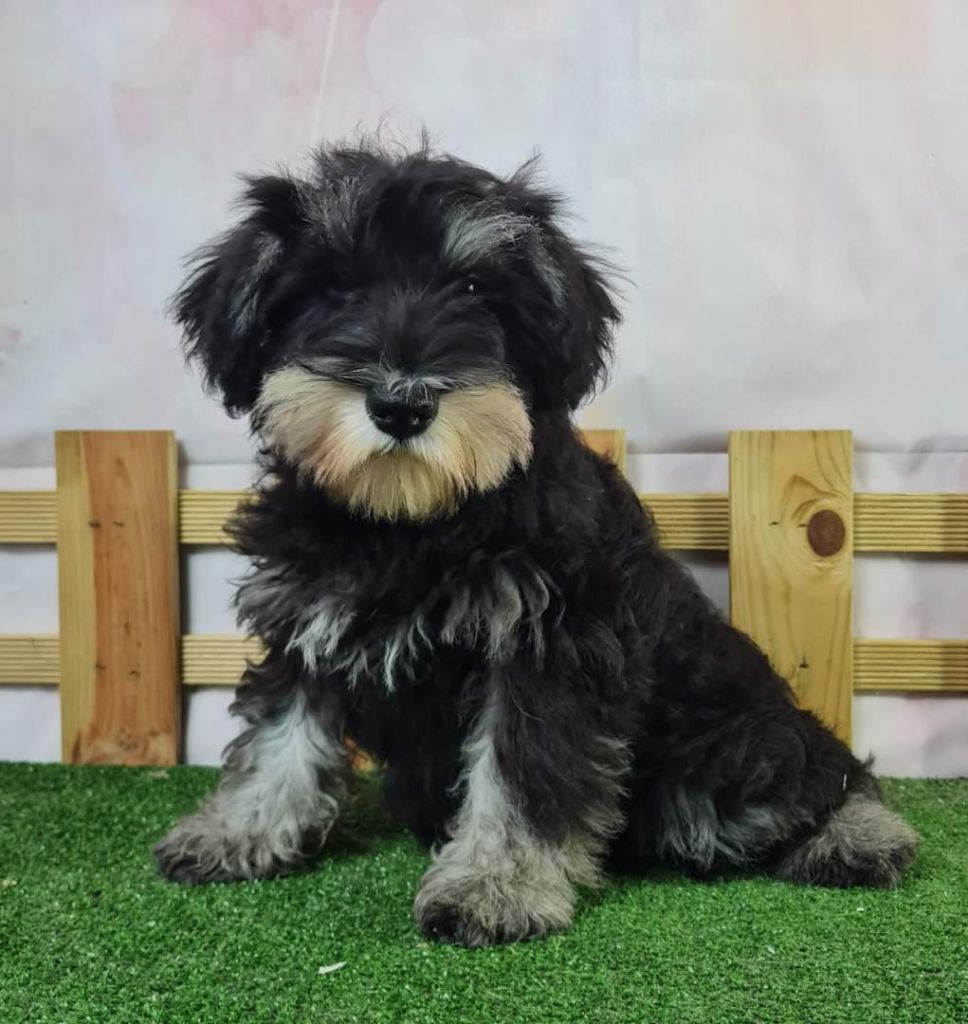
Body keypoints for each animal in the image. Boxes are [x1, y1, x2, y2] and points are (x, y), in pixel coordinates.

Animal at [155, 138, 917, 947]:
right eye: (333, 289)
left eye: (473, 286)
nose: (401, 404)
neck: (409, 523)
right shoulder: (306, 623)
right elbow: (278, 736)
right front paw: (237, 831)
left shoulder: (546, 651)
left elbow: (521, 773)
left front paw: (495, 887)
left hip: (724, 756)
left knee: (819, 777)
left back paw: (858, 835)